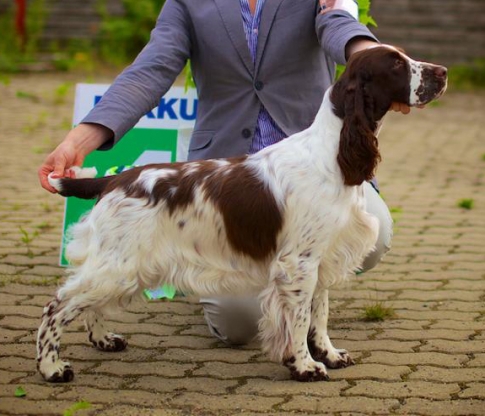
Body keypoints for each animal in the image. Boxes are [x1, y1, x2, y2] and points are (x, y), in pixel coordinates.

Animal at [36, 44, 446, 380]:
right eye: (395, 64)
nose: (442, 71)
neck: (333, 156)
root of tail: (113, 181)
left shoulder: (323, 257)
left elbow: (320, 312)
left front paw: (328, 354)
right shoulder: (298, 263)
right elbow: (300, 318)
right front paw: (305, 365)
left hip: (124, 268)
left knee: (90, 306)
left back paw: (104, 340)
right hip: (117, 264)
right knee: (57, 306)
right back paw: (52, 367)